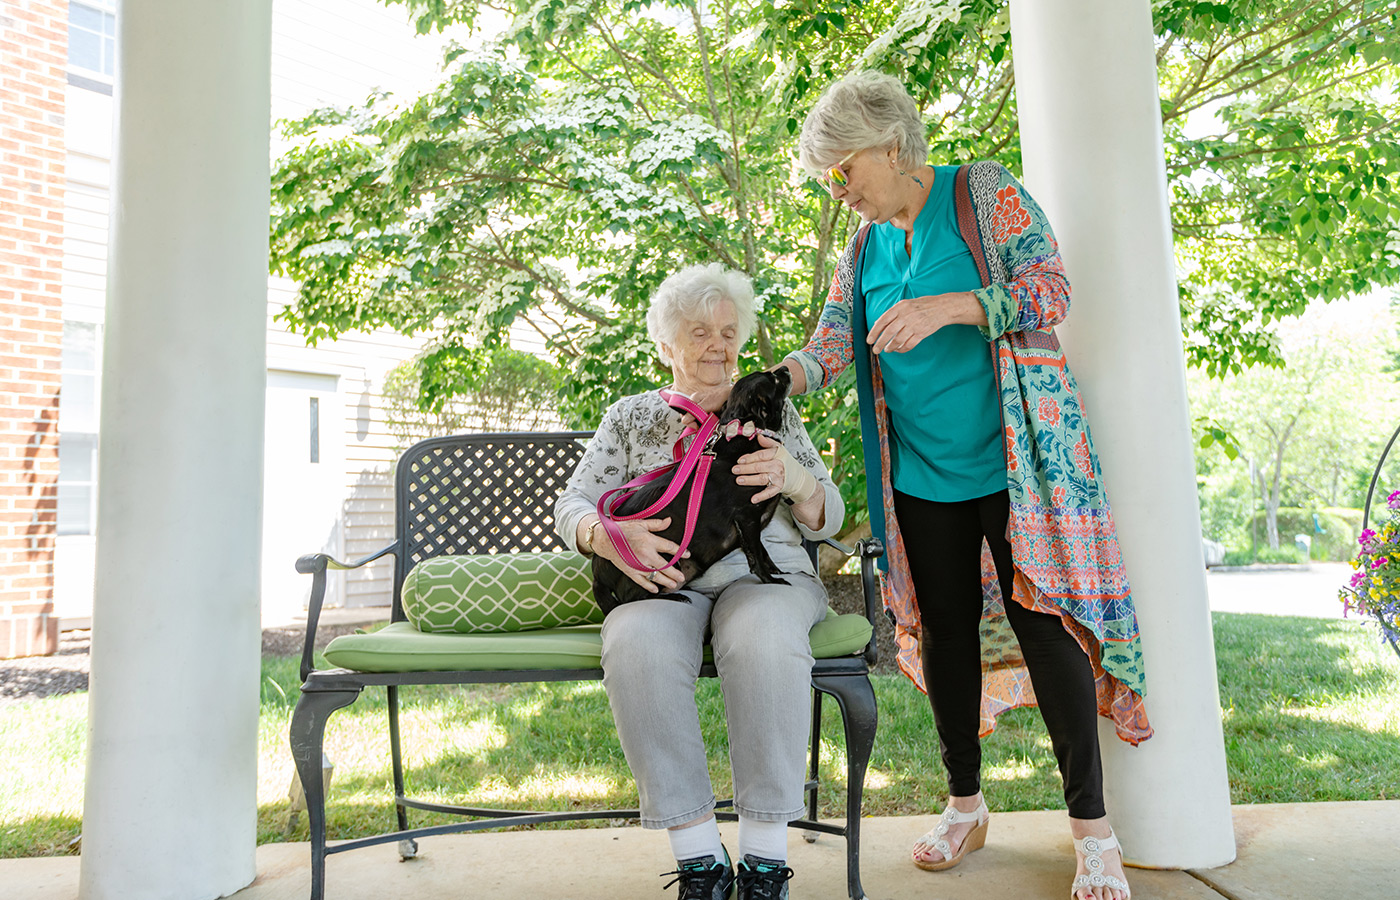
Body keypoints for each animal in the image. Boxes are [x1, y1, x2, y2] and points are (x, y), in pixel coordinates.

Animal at [588, 369, 795, 615]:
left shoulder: (752, 524)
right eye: (773, 380)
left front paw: (777, 570)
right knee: (633, 597)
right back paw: (674, 597)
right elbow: (756, 556)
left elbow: (763, 551)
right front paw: (770, 579)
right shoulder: (747, 517)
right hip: (661, 559)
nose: (786, 369)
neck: (745, 432)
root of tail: (597, 576)